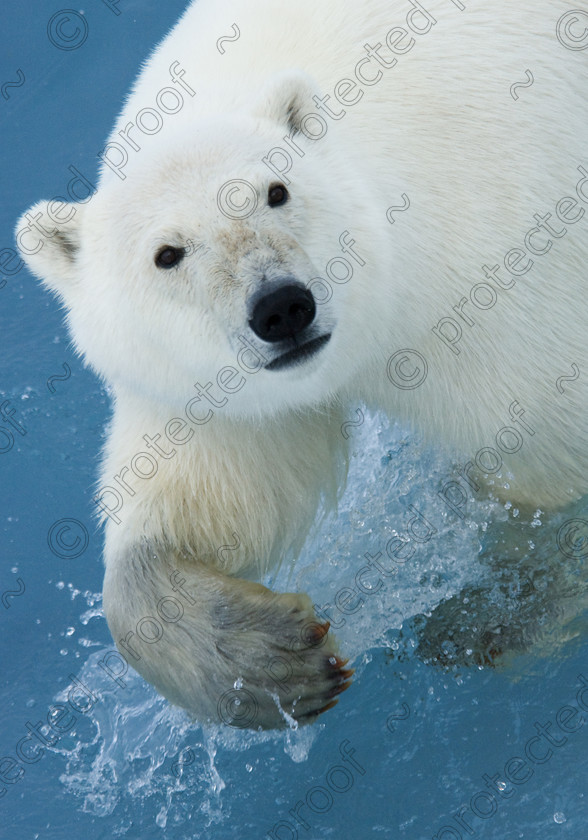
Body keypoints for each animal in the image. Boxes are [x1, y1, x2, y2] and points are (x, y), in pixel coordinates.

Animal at [16, 0, 588, 724]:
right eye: (167, 254)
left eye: (275, 191)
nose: (282, 307)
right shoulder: (217, 392)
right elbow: (216, 491)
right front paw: (267, 663)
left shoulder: (494, 262)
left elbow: (543, 452)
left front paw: (492, 613)